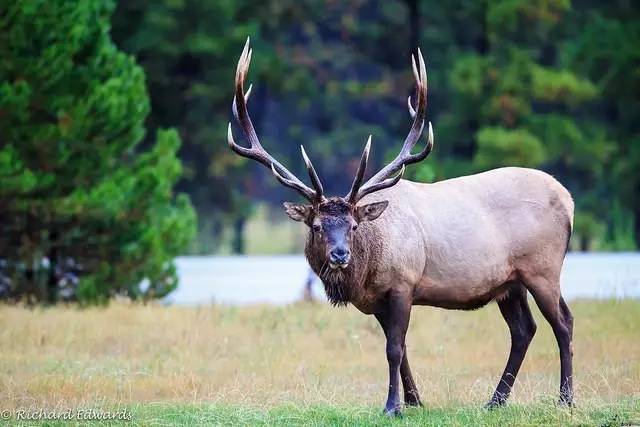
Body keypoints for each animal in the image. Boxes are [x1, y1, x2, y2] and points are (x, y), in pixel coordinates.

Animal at [229, 38, 576, 416]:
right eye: (317, 226)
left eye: (353, 226)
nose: (340, 255)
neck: (366, 272)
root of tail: (569, 199)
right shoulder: (378, 301)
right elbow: (402, 348)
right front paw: (414, 400)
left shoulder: (403, 283)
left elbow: (394, 349)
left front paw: (392, 405)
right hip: (509, 283)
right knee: (523, 330)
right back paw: (495, 401)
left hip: (543, 269)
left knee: (563, 322)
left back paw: (566, 399)